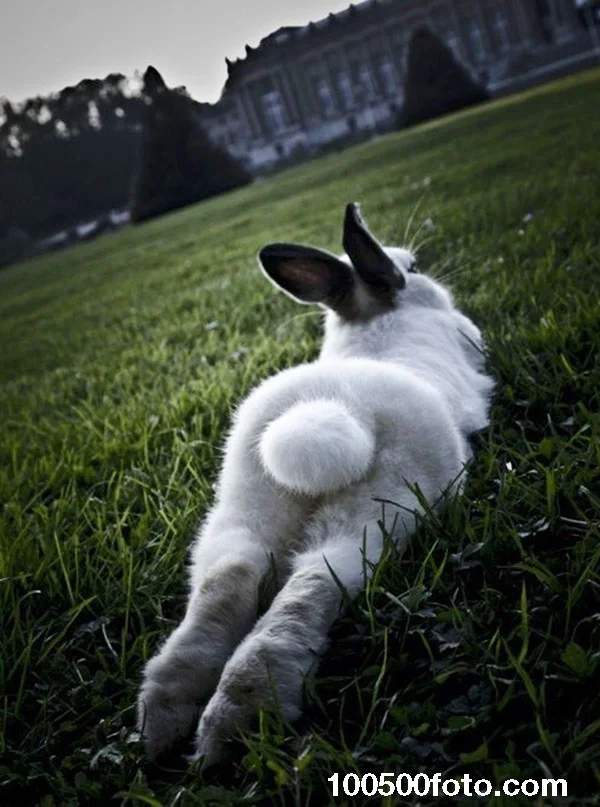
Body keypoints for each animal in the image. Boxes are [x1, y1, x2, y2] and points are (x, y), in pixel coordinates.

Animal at [136, 202, 494, 766]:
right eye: (412, 268)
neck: (374, 320)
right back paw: (242, 718)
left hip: (245, 502)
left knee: (230, 575)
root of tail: (332, 405)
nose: (427, 274)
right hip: (384, 506)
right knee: (313, 582)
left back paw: (167, 717)